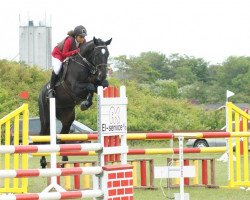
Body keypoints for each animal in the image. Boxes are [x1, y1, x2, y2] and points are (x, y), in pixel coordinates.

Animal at [38, 36, 112, 168]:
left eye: (107, 54)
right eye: (97, 54)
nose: (102, 75)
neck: (85, 65)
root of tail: (41, 92)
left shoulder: (96, 81)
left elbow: (100, 85)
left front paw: (86, 103)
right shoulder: (75, 87)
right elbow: (90, 86)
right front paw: (85, 104)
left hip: (67, 118)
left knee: (63, 135)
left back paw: (64, 160)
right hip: (46, 118)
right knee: (43, 136)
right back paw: (43, 162)